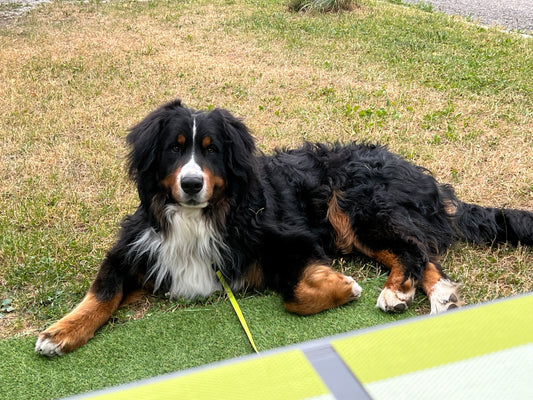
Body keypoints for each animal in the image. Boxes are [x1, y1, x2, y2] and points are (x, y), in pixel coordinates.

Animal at [35, 99, 532, 356]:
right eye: (175, 149)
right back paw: (436, 294)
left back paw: (397, 290)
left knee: (412, 246)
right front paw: (60, 332)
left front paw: (342, 286)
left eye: (211, 149)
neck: (205, 215)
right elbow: (102, 291)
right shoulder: (140, 248)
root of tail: (423, 178)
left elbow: (296, 295)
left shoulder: (291, 240)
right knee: (421, 251)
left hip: (355, 205)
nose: (192, 184)